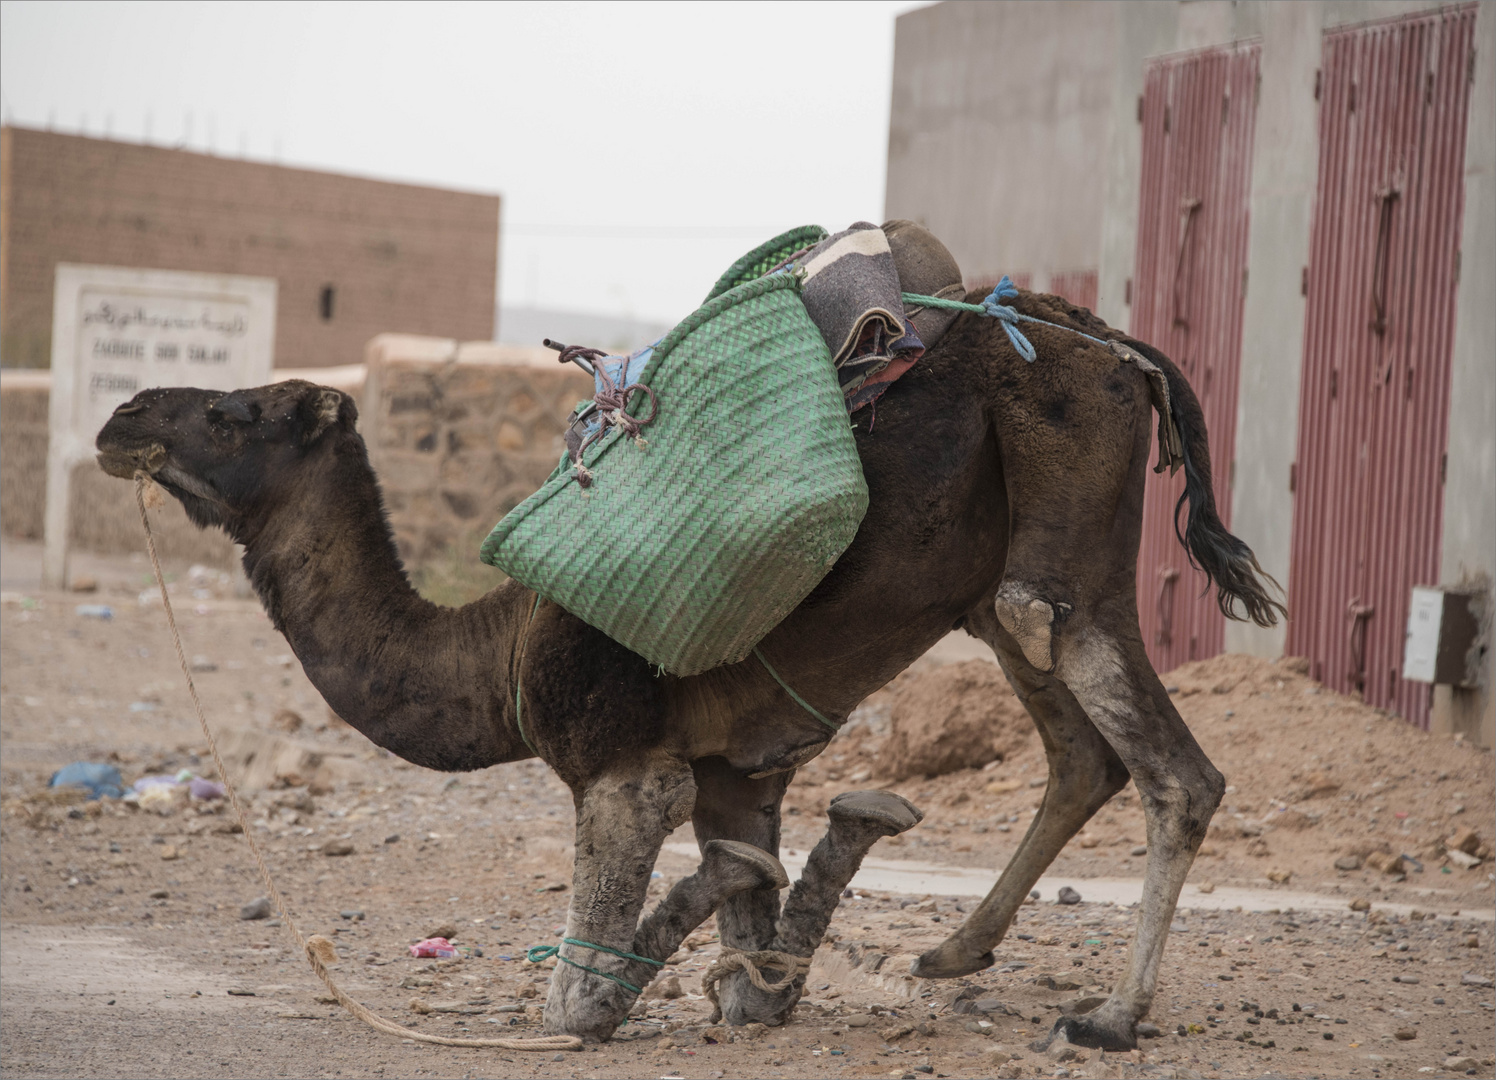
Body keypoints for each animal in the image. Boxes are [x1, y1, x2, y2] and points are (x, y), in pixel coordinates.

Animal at [96, 260, 1286, 1041]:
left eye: (230, 413)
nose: (120, 418)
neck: (493, 660)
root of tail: (1118, 349)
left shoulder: (625, 769)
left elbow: (575, 1003)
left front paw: (665, 953)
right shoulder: (735, 775)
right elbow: (749, 978)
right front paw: (799, 897)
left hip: (1068, 515)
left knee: (1165, 759)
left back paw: (1112, 1014)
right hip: (997, 594)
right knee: (1078, 750)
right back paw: (954, 951)